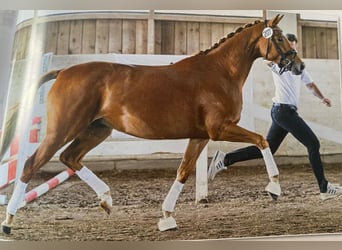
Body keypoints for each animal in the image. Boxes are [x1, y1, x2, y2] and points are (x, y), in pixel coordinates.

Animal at [1, 14, 304, 233]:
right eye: (279, 37)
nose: (299, 66)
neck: (219, 72)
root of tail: (63, 71)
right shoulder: (219, 129)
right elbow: (262, 141)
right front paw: (274, 188)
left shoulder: (200, 136)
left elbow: (183, 171)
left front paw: (167, 217)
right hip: (63, 129)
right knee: (31, 164)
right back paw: (9, 223)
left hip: (97, 129)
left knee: (70, 157)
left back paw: (106, 199)